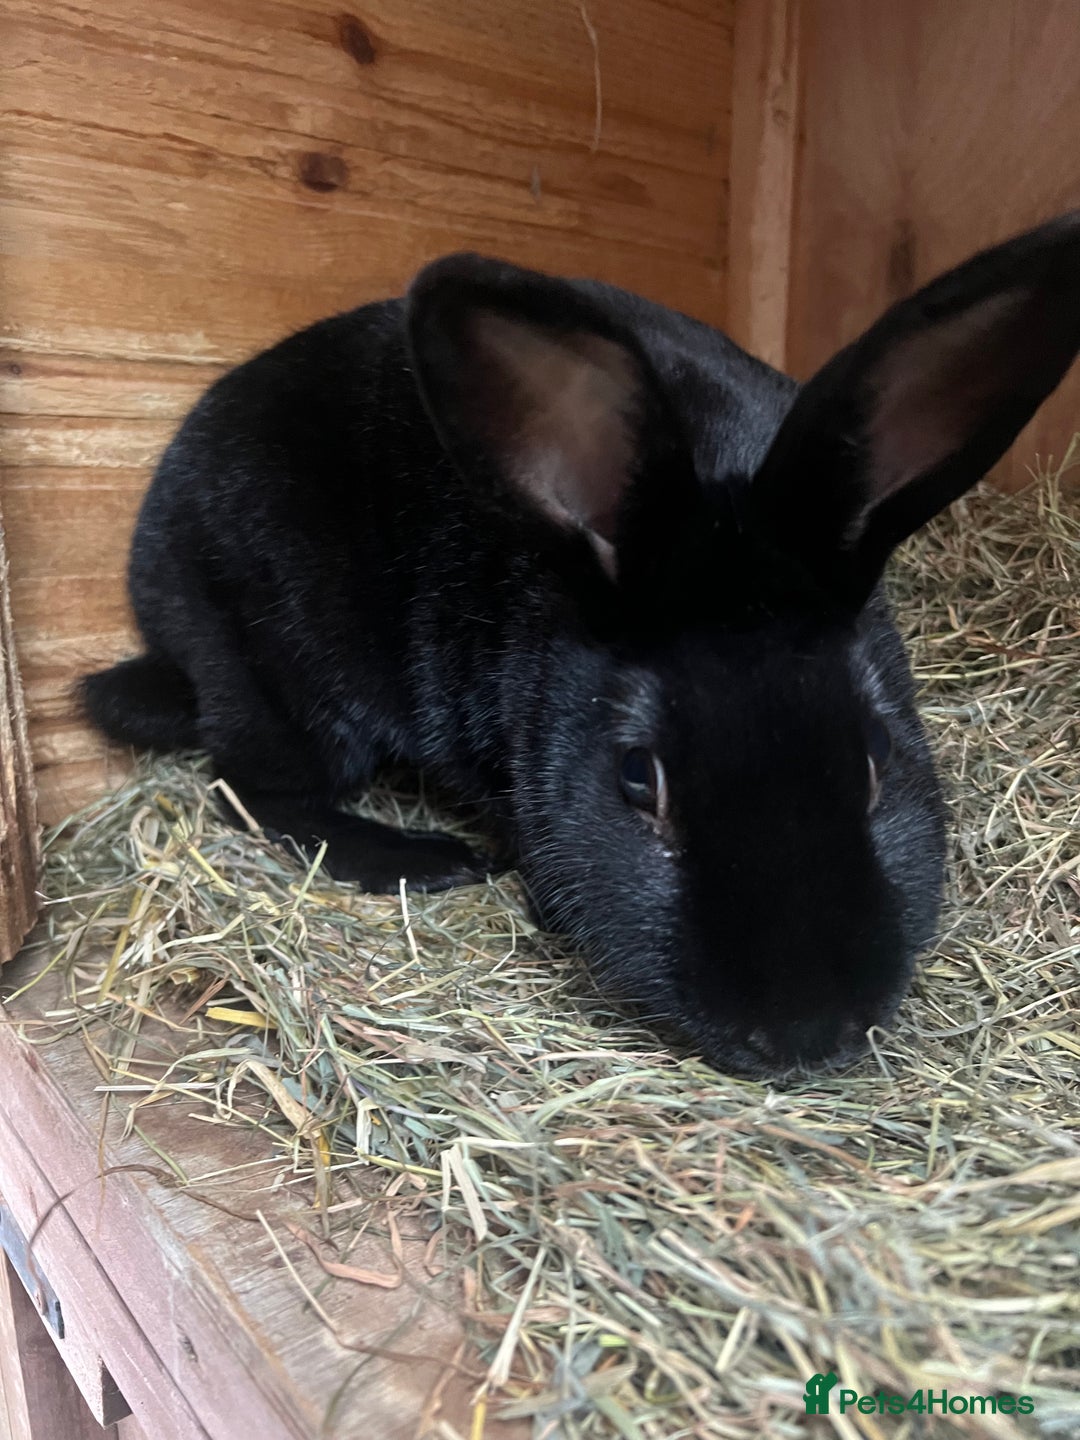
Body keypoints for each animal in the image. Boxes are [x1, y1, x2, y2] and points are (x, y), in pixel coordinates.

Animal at [82, 213, 1080, 1077]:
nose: (807, 1031)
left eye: (874, 759)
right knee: (255, 790)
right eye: (638, 778)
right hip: (277, 668)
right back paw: (427, 862)